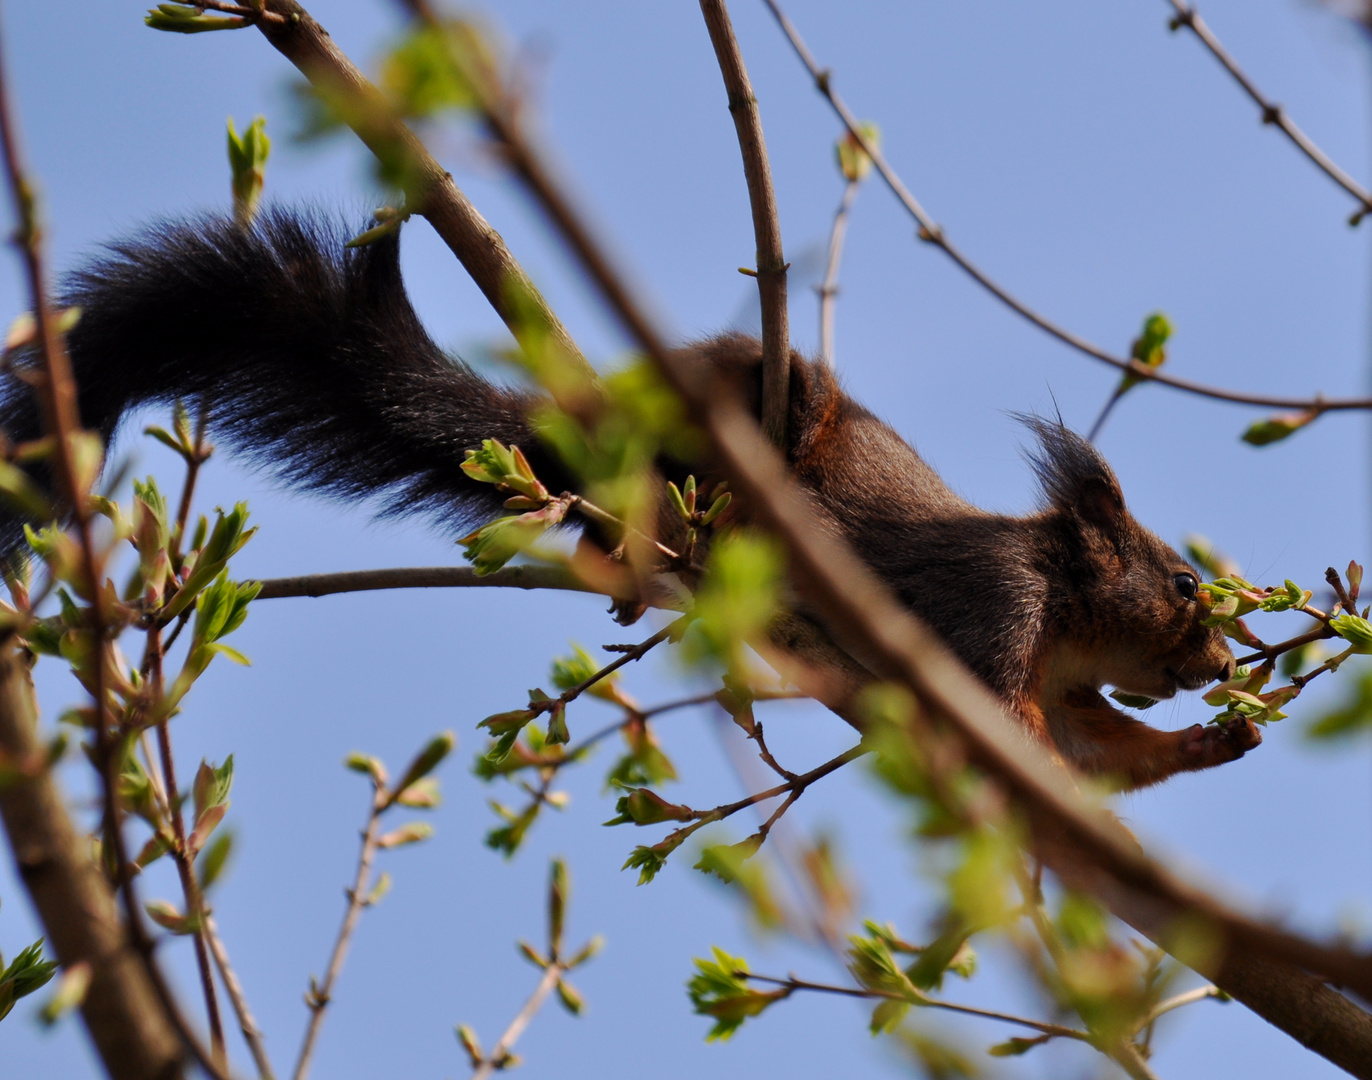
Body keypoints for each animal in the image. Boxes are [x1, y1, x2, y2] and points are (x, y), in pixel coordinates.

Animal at [2, 207, 1262, 790]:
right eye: (1182, 584)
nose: (1224, 664)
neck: (1063, 604)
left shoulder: (1069, 678)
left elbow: (1104, 756)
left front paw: (1213, 743)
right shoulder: (995, 606)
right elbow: (1012, 734)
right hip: (731, 405)